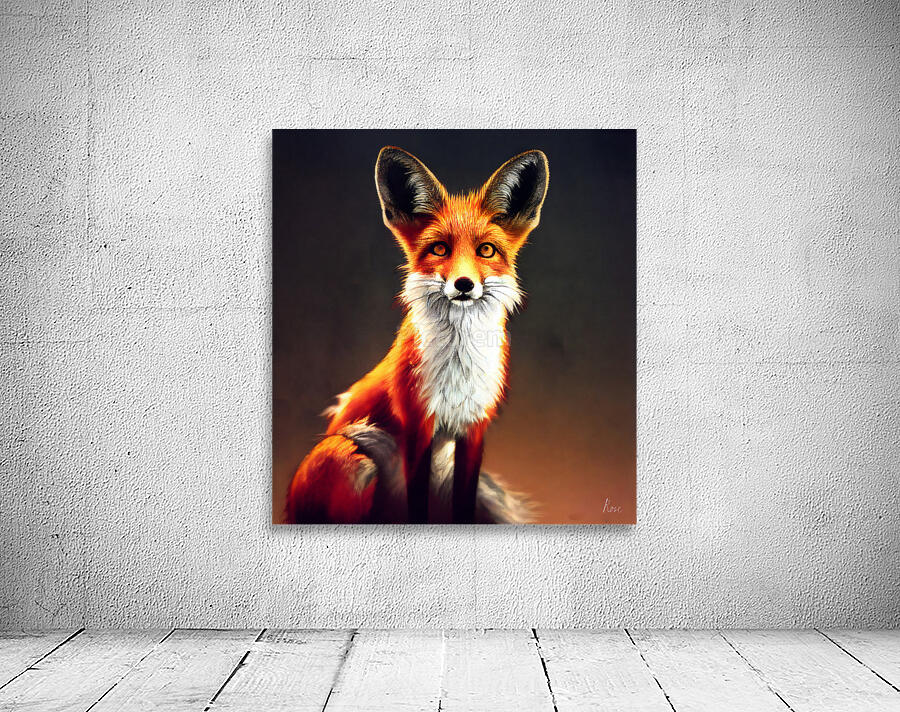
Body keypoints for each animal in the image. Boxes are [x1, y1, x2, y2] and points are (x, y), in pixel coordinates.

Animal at [285, 146, 549, 524]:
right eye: (439, 249)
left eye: (486, 250)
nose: (464, 284)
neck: (458, 367)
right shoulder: (417, 424)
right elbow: (417, 502)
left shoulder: (474, 430)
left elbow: (464, 503)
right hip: (350, 453)